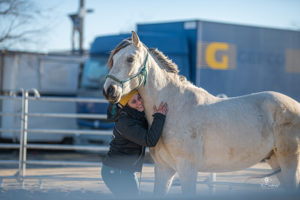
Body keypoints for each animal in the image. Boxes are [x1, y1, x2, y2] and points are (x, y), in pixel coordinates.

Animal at [103, 31, 300, 195]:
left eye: (130, 58)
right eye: (114, 59)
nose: (109, 90)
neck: (174, 107)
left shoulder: (187, 169)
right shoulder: (164, 170)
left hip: (290, 163)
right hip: (276, 161)